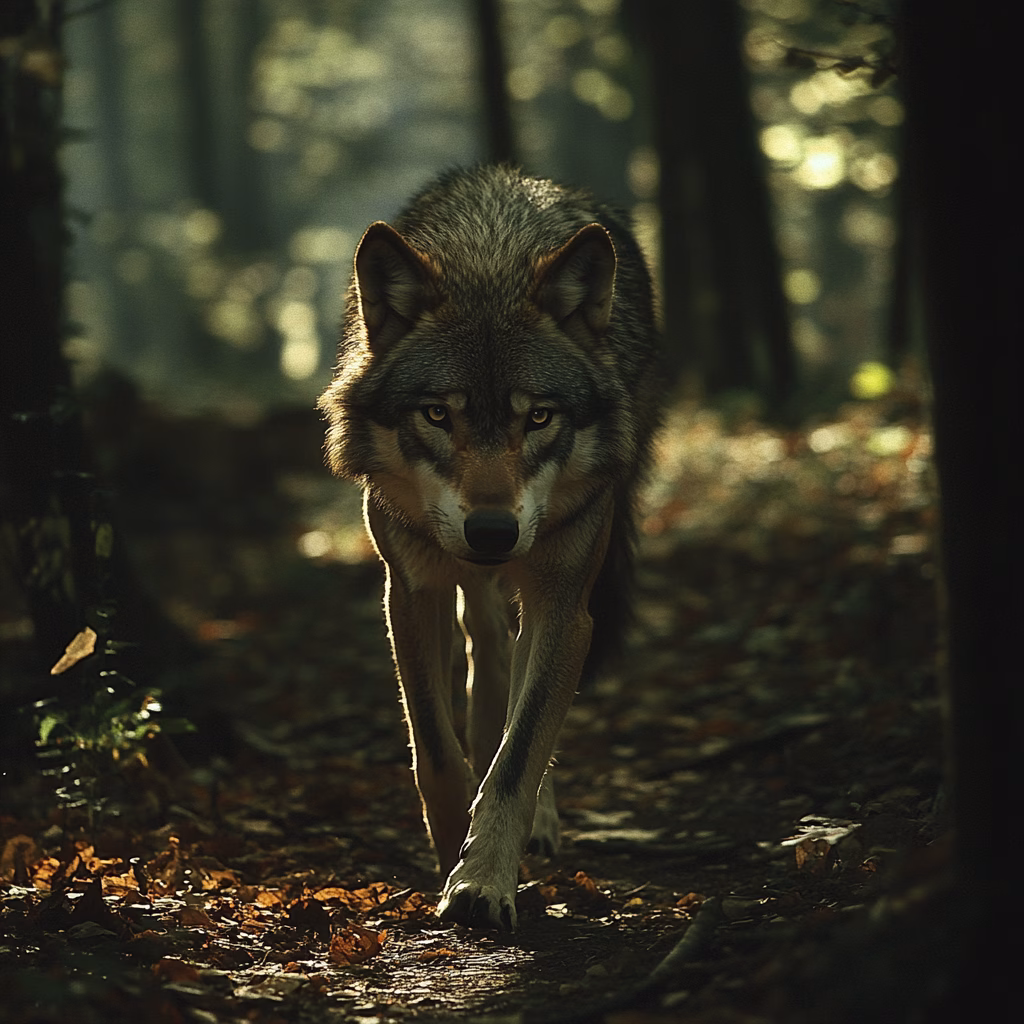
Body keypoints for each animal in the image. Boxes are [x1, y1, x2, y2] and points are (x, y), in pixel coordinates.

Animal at [318, 165, 663, 930]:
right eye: (436, 414)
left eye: (538, 417)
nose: (493, 532)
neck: (490, 262)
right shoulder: (410, 589)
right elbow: (437, 752)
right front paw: (453, 855)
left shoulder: (565, 602)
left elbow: (520, 750)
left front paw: (482, 880)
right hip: (466, 583)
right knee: (490, 651)